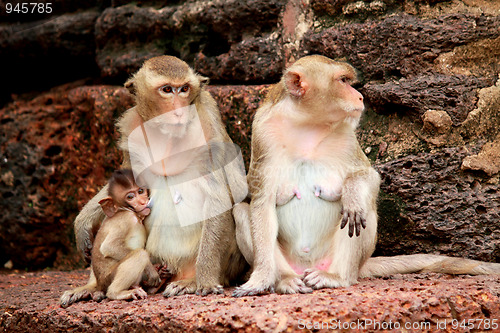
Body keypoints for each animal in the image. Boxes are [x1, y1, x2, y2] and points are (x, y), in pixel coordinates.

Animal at [59, 170, 162, 308]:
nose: (142, 201)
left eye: (141, 191)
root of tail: (100, 284)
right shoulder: (126, 219)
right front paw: (152, 271)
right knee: (139, 254)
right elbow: (109, 247)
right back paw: (117, 292)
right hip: (108, 278)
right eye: (130, 197)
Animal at [72, 55, 248, 296]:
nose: (179, 111)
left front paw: (205, 281)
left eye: (184, 89)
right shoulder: (132, 127)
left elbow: (219, 198)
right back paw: (94, 286)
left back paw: (190, 281)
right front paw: (82, 223)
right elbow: (121, 180)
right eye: (167, 90)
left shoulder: (207, 125)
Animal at [233, 54, 500, 296]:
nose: (360, 96)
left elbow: (368, 176)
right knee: (242, 211)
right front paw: (260, 279)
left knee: (365, 208)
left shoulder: (346, 136)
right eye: (342, 80)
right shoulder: (262, 134)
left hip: (341, 262)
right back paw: (284, 280)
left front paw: (351, 192)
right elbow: (261, 203)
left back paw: (337, 277)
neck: (306, 125)